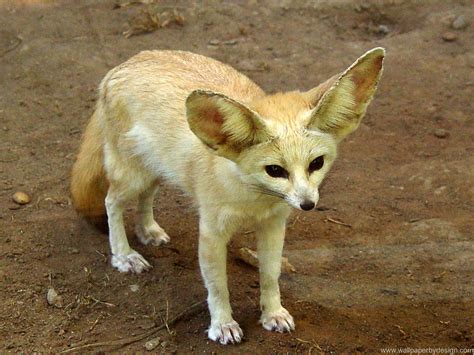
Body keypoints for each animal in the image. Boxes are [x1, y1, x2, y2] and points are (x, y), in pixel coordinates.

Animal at [71, 48, 386, 344]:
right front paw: (222, 324)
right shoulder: (212, 232)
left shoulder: (273, 224)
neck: (253, 199)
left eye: (316, 164)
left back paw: (147, 230)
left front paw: (272, 313)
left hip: (156, 170)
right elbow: (218, 286)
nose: (308, 205)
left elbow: (270, 275)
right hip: (132, 176)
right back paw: (123, 255)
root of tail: (126, 63)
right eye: (275, 170)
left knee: (146, 196)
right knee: (111, 202)